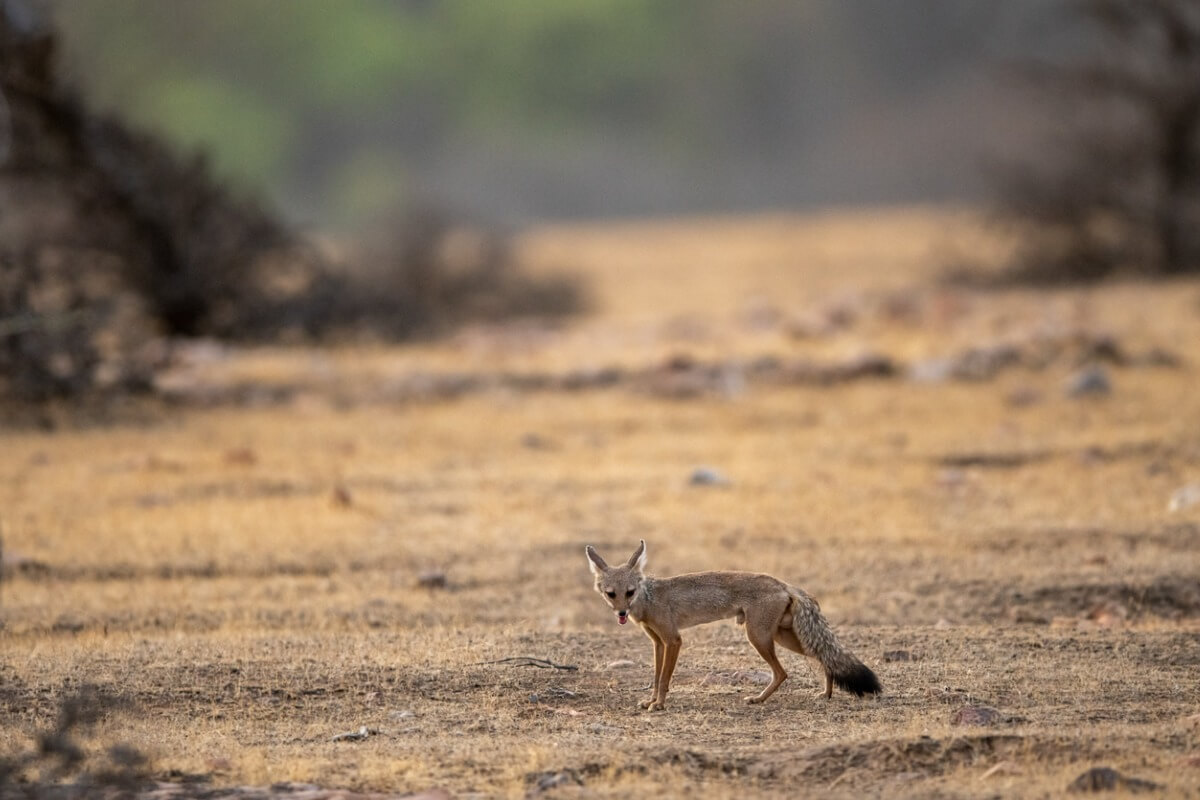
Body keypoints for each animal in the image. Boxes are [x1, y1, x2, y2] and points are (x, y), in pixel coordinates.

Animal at [588, 542, 883, 710]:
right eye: (611, 594)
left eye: (630, 591)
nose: (622, 613)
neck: (649, 598)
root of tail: (784, 584)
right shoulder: (658, 642)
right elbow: (656, 676)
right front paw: (651, 701)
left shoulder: (673, 640)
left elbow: (664, 679)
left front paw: (659, 705)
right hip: (782, 638)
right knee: (824, 657)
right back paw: (825, 694)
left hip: (758, 637)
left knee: (784, 672)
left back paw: (759, 700)